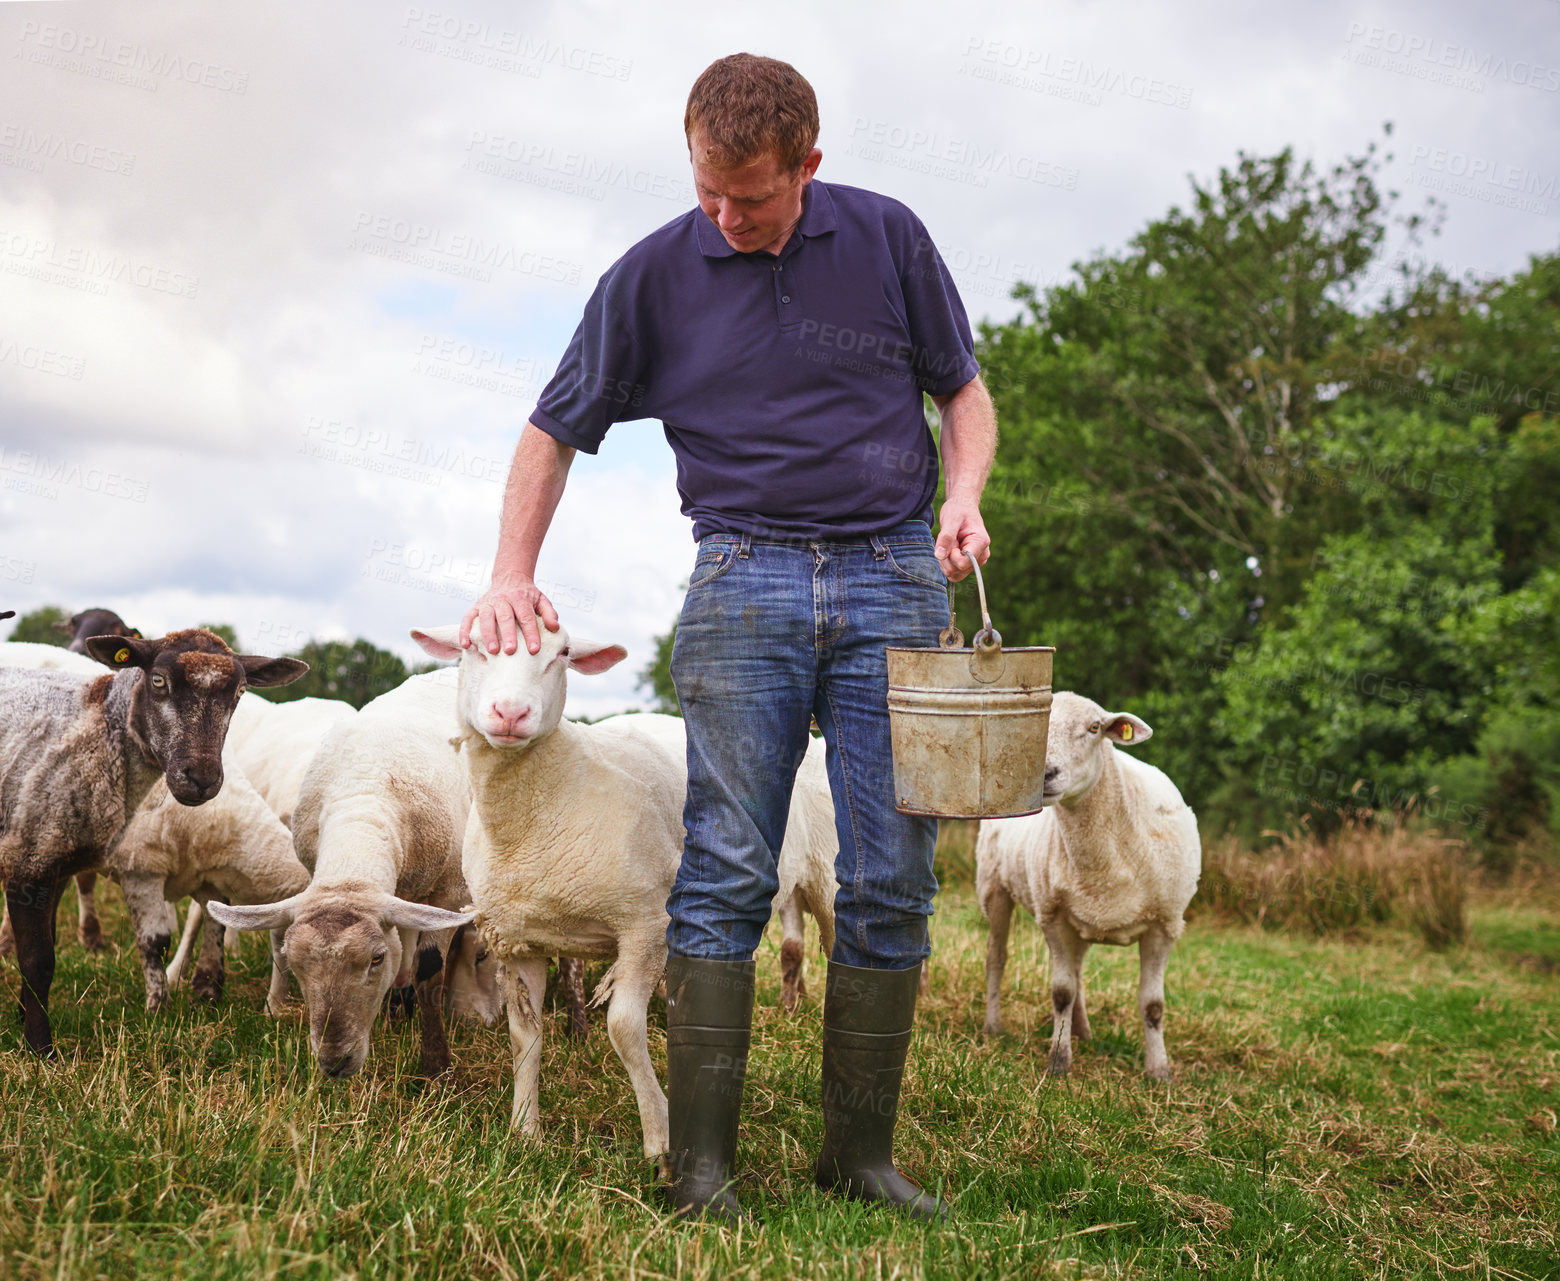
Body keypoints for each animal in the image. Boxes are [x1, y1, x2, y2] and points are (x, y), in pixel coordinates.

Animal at [0, 624, 307, 1054]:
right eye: (158, 681)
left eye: (240, 691)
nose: (201, 778)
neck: (100, 733)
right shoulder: (32, 855)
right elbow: (39, 958)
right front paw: (40, 1048)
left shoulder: (57, 857)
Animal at [207, 664, 474, 1073]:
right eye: (298, 964)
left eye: (375, 958)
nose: (334, 1063)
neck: (365, 798)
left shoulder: (451, 892)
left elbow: (428, 970)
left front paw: (434, 1066)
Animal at [408, 620, 836, 1160]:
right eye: (471, 647)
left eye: (562, 654)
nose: (510, 712)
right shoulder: (519, 940)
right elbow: (524, 1035)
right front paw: (525, 1132)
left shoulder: (646, 926)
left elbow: (624, 1030)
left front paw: (660, 1141)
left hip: (828, 876)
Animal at [973, 695, 1204, 1073]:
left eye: (1095, 727)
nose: (1044, 774)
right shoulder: (1053, 916)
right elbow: (1061, 993)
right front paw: (1058, 1060)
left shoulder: (1165, 923)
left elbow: (1153, 1005)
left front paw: (1159, 1071)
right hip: (994, 887)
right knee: (996, 957)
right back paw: (993, 1026)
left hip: (1081, 917)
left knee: (1078, 968)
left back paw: (1082, 1031)